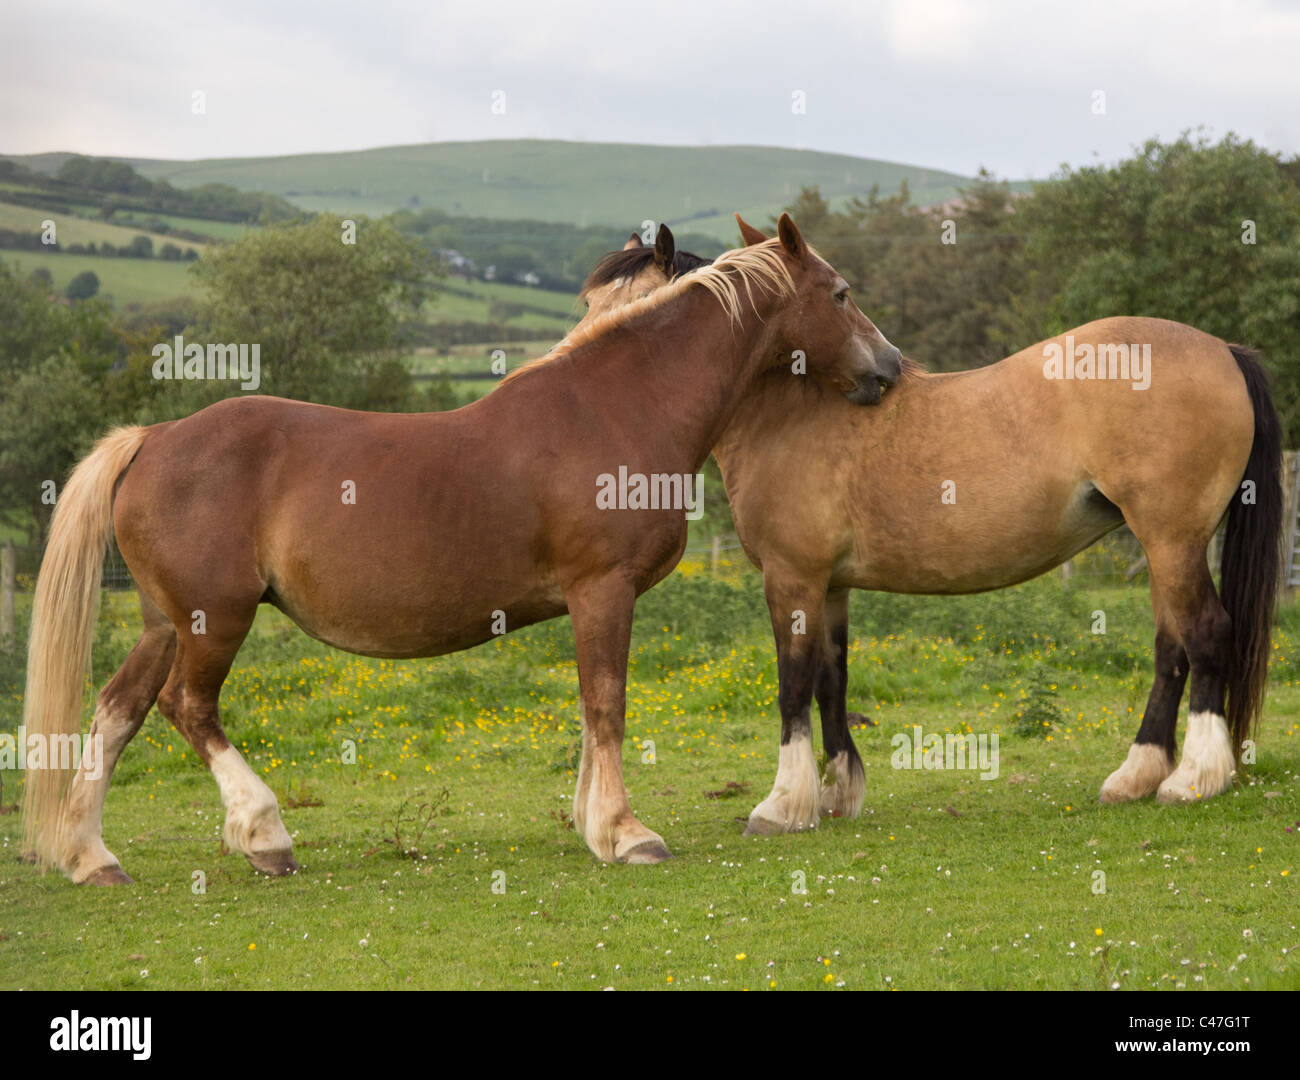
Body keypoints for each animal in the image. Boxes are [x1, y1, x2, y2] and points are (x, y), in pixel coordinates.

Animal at [21, 213, 900, 883]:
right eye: (842, 293)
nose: (889, 366)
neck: (620, 405)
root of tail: (152, 438)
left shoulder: (586, 602)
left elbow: (589, 708)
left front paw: (591, 821)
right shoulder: (603, 589)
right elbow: (607, 703)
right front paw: (625, 833)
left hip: (165, 622)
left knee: (117, 711)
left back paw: (91, 856)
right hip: (216, 620)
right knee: (187, 708)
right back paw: (264, 834)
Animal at [576, 215, 1282, 836]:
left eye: (631, 313)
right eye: (588, 302)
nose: (574, 364)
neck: (792, 410)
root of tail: (1223, 350)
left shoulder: (792, 579)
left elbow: (793, 684)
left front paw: (782, 806)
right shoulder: (831, 585)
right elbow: (832, 680)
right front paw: (836, 795)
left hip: (1173, 541)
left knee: (1207, 635)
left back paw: (1192, 779)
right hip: (1165, 548)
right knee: (1171, 649)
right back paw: (1134, 776)